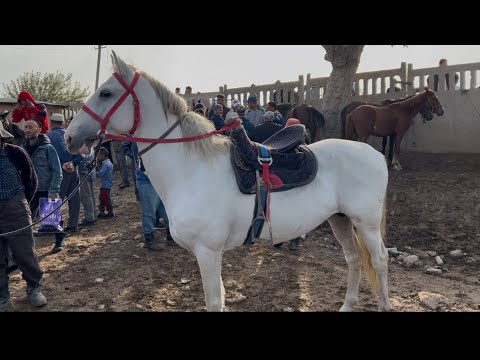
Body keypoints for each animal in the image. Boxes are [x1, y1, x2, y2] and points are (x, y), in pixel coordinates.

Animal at [65, 51, 392, 312]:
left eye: (105, 93)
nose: (69, 137)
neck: (191, 171)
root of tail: (375, 154)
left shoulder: (208, 253)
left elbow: (214, 301)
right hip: (340, 218)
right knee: (353, 259)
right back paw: (347, 304)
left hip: (365, 222)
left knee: (379, 260)